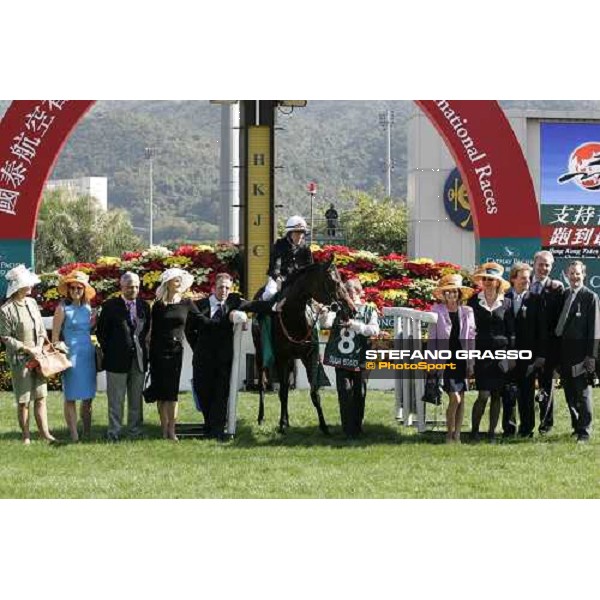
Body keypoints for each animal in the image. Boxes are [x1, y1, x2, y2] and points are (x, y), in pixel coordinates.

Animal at [251, 260, 354, 434]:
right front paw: (281, 425)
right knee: (263, 385)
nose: (352, 309)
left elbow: (314, 392)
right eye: (333, 281)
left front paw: (324, 426)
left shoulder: (308, 357)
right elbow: (282, 392)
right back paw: (261, 417)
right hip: (260, 355)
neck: (292, 316)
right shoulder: (282, 359)